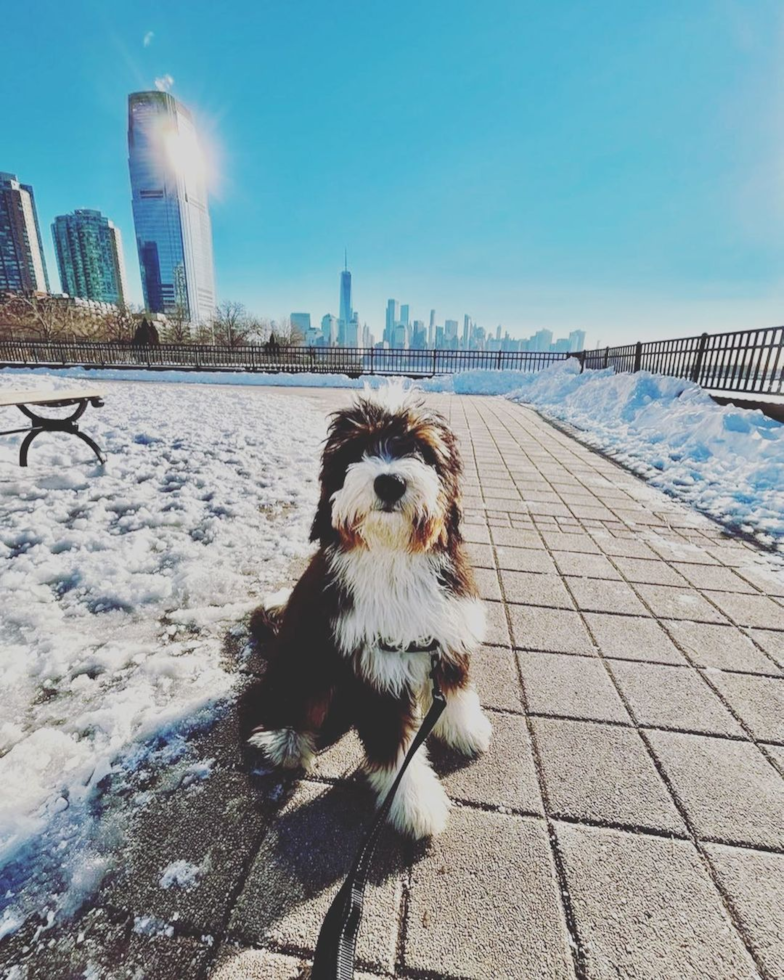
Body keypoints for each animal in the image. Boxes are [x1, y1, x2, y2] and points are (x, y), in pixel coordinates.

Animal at [245, 382, 490, 836]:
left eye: (419, 449)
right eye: (358, 448)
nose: (390, 483)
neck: (392, 555)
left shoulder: (445, 634)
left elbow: (455, 688)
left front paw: (464, 729)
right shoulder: (378, 665)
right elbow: (395, 744)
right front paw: (416, 805)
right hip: (304, 665)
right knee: (275, 704)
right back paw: (284, 740)